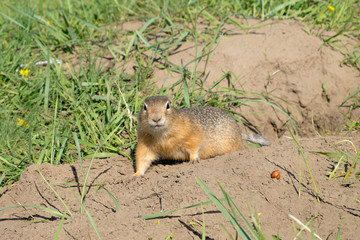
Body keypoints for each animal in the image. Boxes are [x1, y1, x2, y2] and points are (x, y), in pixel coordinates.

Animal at [134, 95, 270, 176]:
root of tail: (239, 133)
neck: (161, 134)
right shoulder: (145, 143)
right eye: (144, 107)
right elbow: (142, 158)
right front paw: (136, 175)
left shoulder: (192, 134)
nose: (156, 119)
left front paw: (193, 160)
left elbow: (195, 146)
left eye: (168, 105)